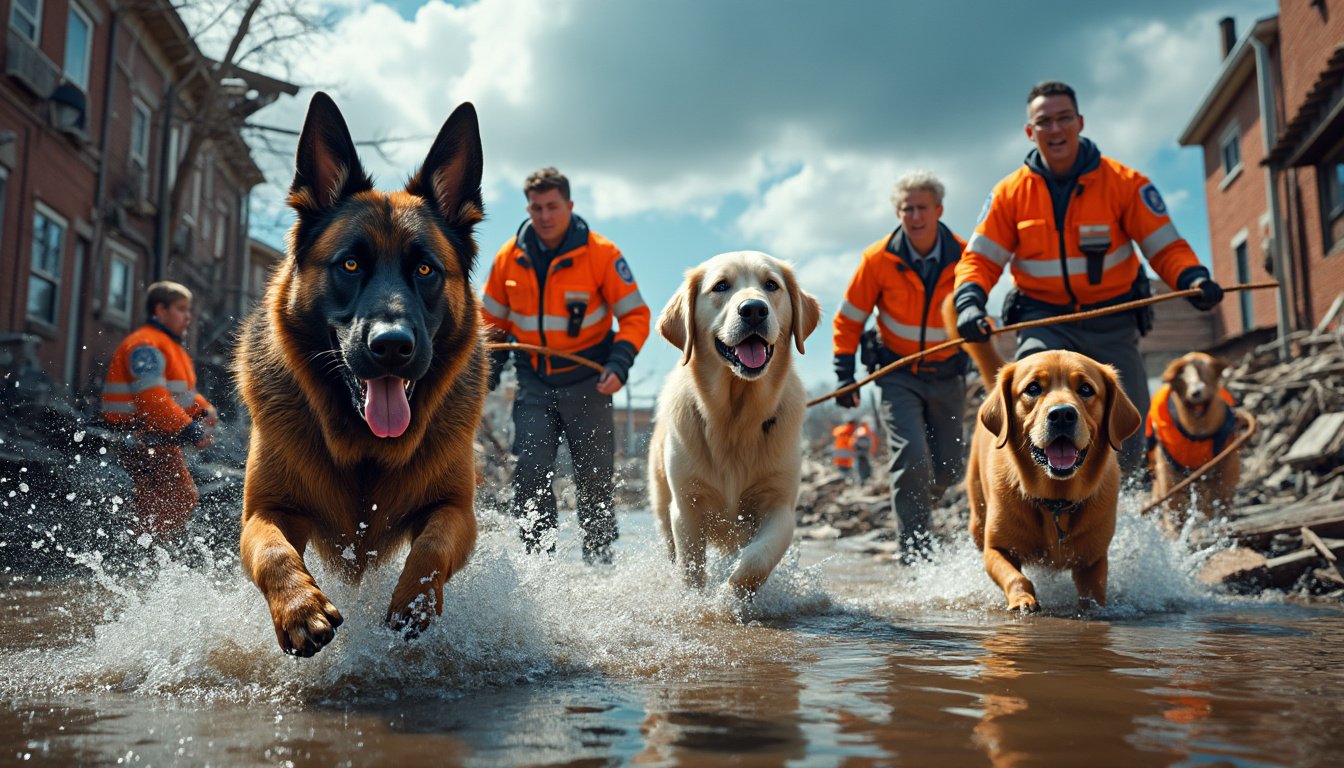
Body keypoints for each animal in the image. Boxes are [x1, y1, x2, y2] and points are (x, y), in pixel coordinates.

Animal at [236, 90, 489, 656]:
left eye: (425, 269)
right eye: (350, 265)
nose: (392, 346)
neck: (365, 449)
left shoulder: (456, 509)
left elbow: (433, 546)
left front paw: (414, 602)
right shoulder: (265, 510)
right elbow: (273, 552)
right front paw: (300, 610)